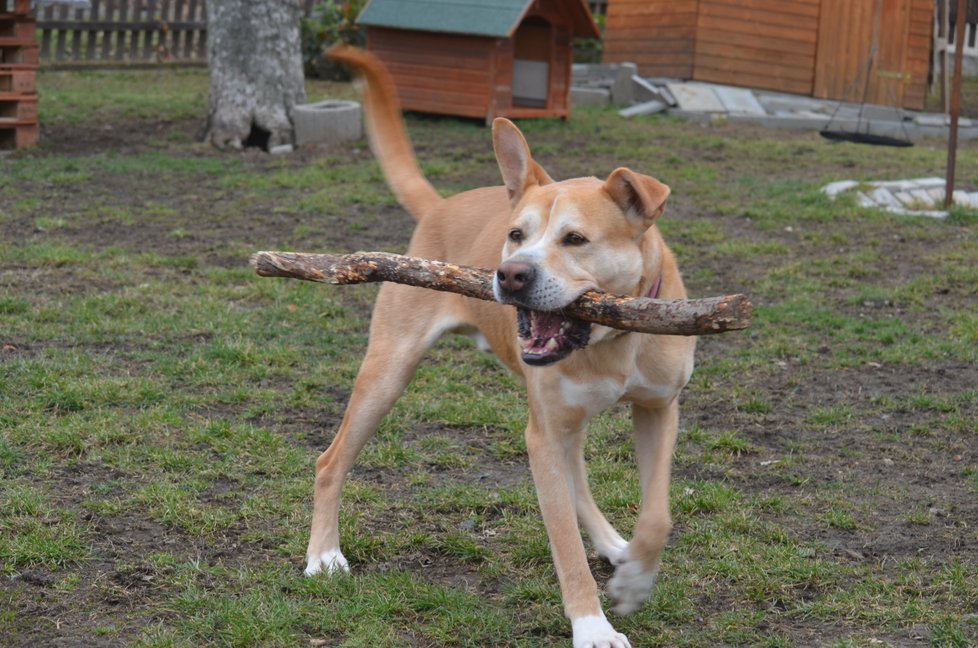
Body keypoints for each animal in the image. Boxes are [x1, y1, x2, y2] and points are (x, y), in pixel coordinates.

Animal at [304, 46, 692, 648]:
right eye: (516, 234)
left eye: (575, 239)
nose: (509, 275)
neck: (611, 339)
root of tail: (440, 206)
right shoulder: (542, 436)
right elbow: (564, 546)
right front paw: (592, 626)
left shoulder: (659, 410)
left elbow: (657, 515)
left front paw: (634, 578)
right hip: (388, 375)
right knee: (330, 461)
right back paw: (323, 554)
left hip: (563, 421)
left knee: (580, 480)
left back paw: (614, 545)